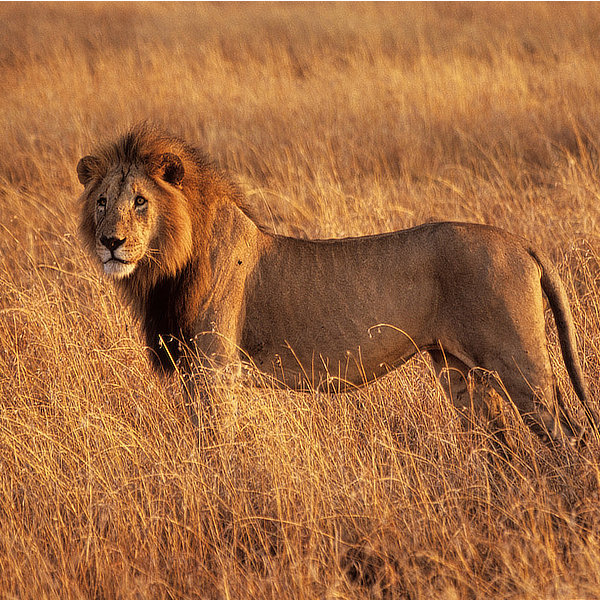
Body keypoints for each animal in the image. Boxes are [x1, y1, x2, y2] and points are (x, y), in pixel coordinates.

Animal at [77, 125, 596, 446]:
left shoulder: (215, 371)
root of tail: (521, 242)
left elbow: (216, 444)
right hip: (459, 372)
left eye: (140, 201)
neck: (165, 269)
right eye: (102, 202)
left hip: (518, 363)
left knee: (567, 437)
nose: (110, 242)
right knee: (497, 443)